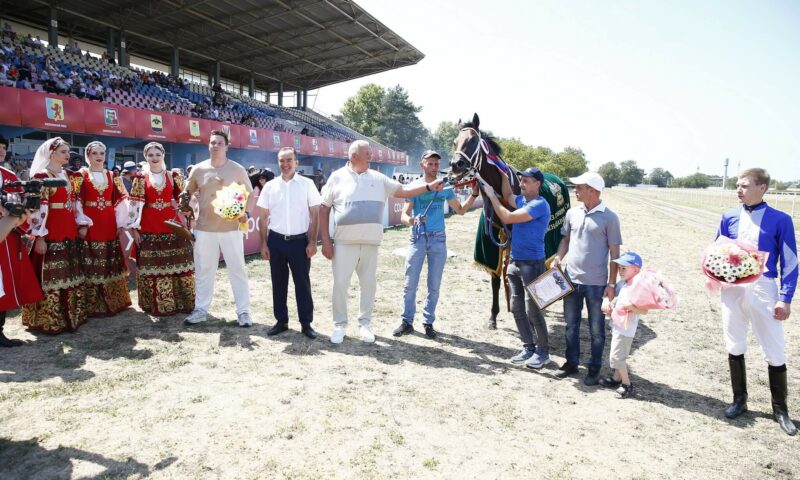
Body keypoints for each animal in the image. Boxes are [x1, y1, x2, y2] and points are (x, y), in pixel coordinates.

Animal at [446, 114, 572, 328]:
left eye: (473, 140)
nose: (456, 165)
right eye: (455, 141)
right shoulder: (493, 242)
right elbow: (497, 279)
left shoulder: (513, 240)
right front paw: (493, 316)